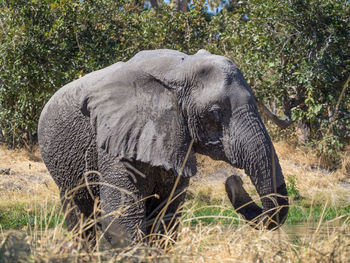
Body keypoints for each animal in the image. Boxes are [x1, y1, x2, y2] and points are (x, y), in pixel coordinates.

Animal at [38, 49, 290, 250]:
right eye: (216, 112)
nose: (233, 180)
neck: (179, 70)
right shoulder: (116, 135)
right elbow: (120, 219)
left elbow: (165, 218)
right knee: (80, 217)